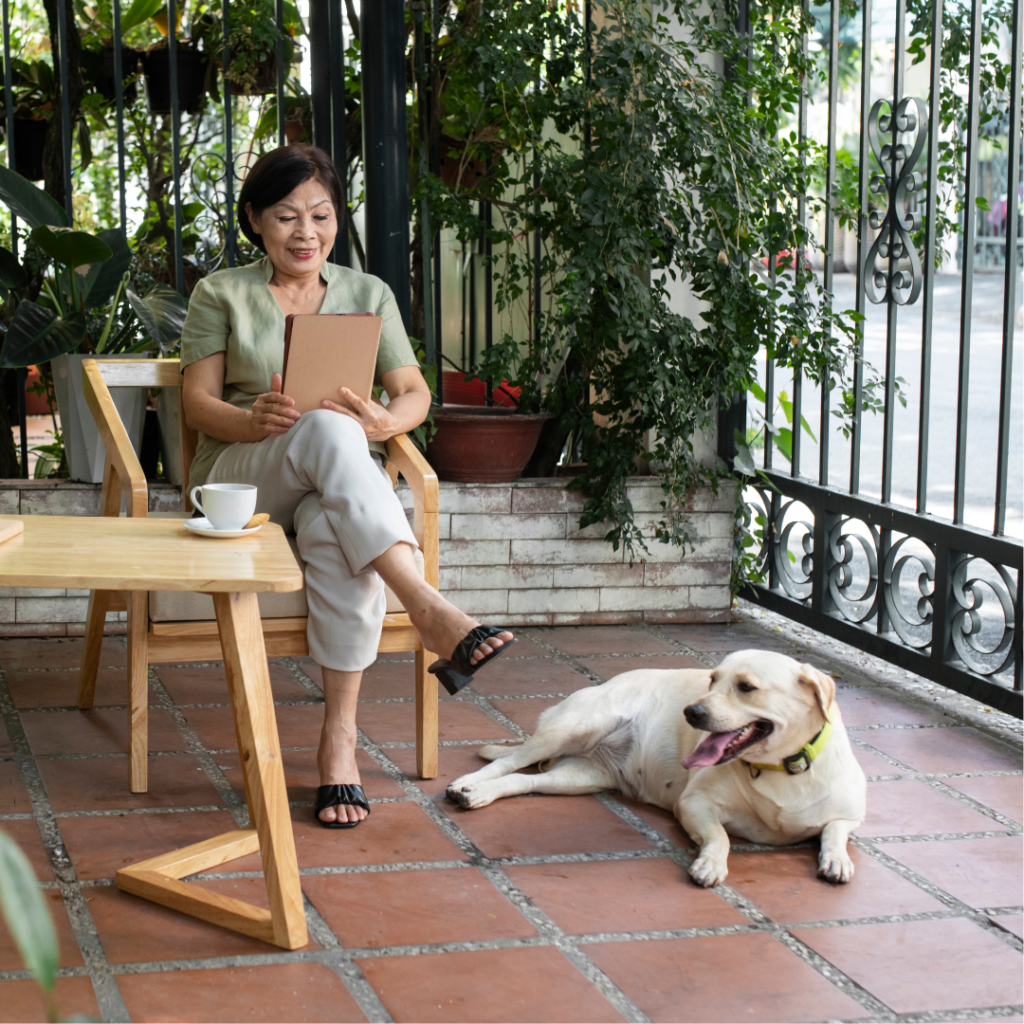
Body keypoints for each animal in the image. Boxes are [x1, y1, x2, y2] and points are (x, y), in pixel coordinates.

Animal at [446, 651, 864, 884]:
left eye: (746, 687)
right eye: (713, 679)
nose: (691, 711)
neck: (778, 770)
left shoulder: (849, 815)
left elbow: (834, 831)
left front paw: (837, 860)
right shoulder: (694, 804)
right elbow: (721, 837)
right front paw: (711, 864)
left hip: (577, 777)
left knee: (522, 781)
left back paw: (480, 795)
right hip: (573, 728)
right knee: (510, 761)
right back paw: (467, 785)